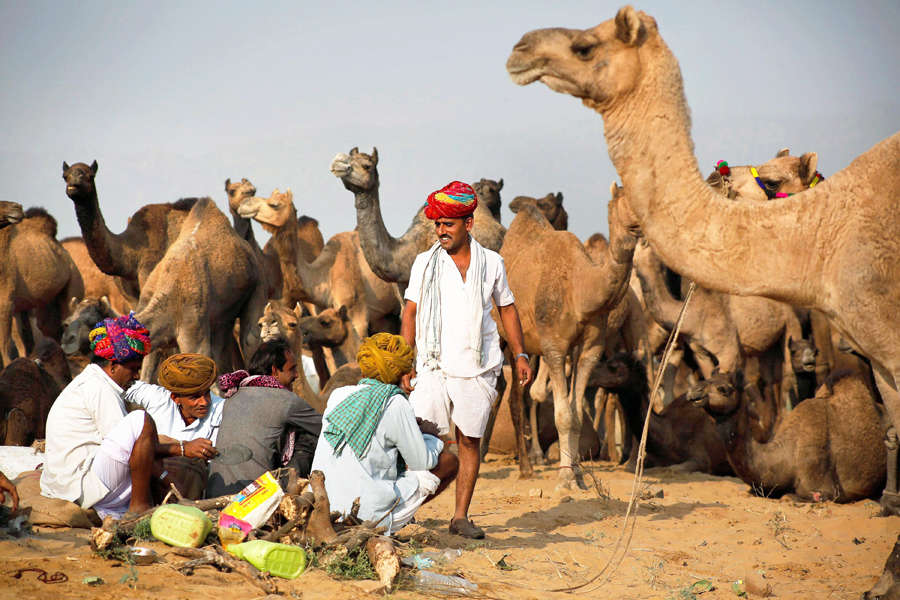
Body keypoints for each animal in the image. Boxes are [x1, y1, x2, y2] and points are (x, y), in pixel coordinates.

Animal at [62, 159, 266, 382]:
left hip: (256, 287)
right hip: (222, 317)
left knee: (249, 338)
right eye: (65, 175)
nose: (67, 341)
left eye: (88, 175)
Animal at [237, 189, 400, 338]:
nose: (244, 204)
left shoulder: (357, 316)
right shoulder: (319, 312)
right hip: (386, 316)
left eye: (275, 204)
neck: (324, 274)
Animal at [500, 180, 640, 486]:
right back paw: (526, 468)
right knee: (514, 398)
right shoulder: (554, 346)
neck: (580, 289)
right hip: (506, 336)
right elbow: (563, 414)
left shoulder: (590, 349)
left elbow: (576, 414)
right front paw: (564, 477)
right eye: (626, 198)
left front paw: (578, 474)